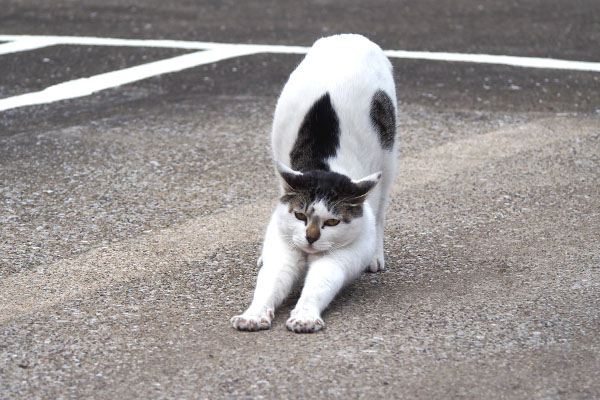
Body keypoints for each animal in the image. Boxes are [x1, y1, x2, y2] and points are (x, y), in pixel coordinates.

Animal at [232, 34, 396, 332]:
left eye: (332, 222)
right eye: (299, 215)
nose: (310, 237)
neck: (325, 166)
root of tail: (350, 37)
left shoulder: (340, 257)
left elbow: (319, 284)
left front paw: (305, 316)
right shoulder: (283, 245)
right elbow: (270, 282)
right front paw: (253, 315)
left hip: (389, 162)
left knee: (380, 214)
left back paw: (375, 257)